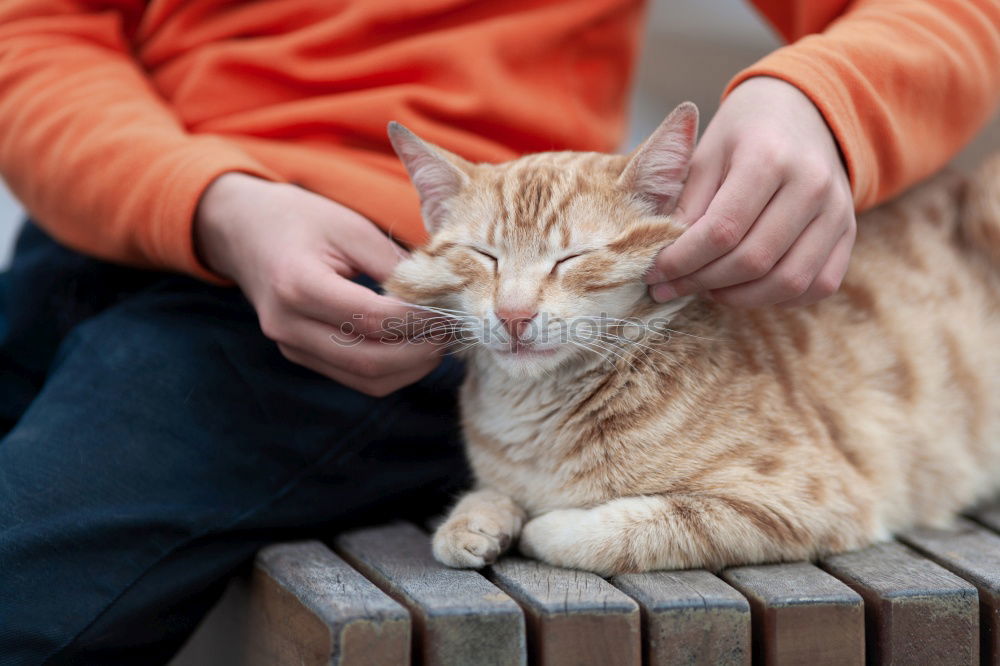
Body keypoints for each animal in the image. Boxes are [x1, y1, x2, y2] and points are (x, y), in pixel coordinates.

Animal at [382, 104, 1000, 576]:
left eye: (572, 258)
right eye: (483, 256)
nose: (513, 314)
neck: (535, 416)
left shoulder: (802, 499)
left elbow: (618, 528)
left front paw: (539, 522)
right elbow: (489, 491)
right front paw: (475, 520)